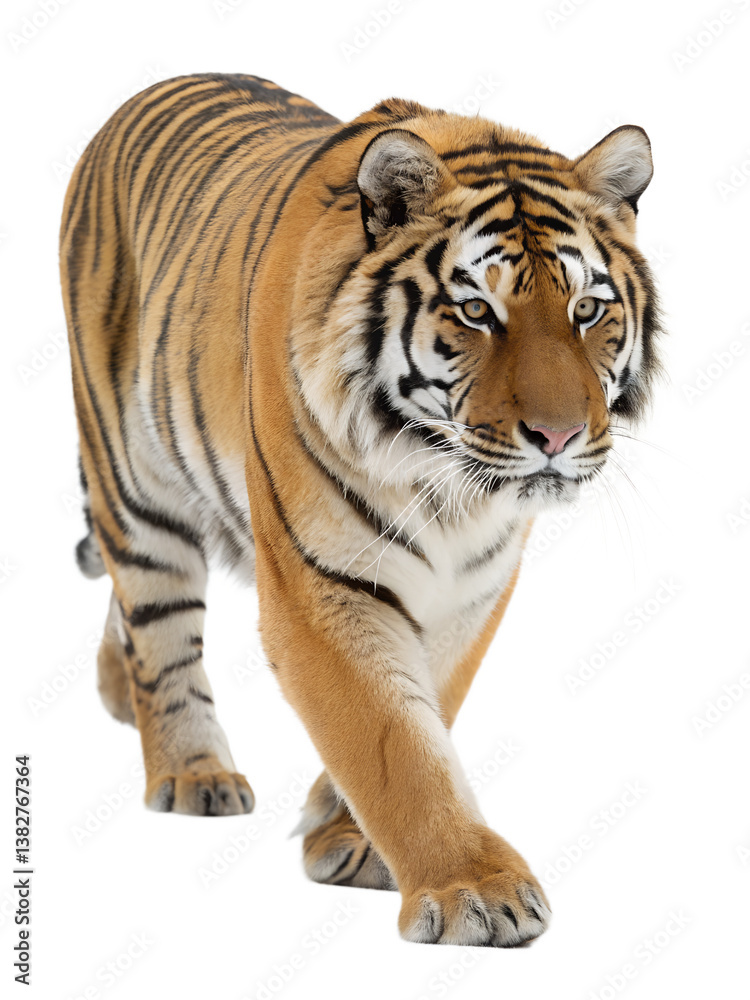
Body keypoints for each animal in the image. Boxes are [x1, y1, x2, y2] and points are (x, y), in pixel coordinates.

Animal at [59, 73, 662, 948]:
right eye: (477, 313)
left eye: (587, 311)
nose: (559, 437)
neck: (449, 487)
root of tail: (148, 90)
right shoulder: (320, 585)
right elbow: (391, 740)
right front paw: (476, 891)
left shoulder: (473, 590)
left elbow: (430, 704)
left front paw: (347, 837)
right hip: (133, 479)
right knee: (159, 625)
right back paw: (193, 772)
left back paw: (116, 689)